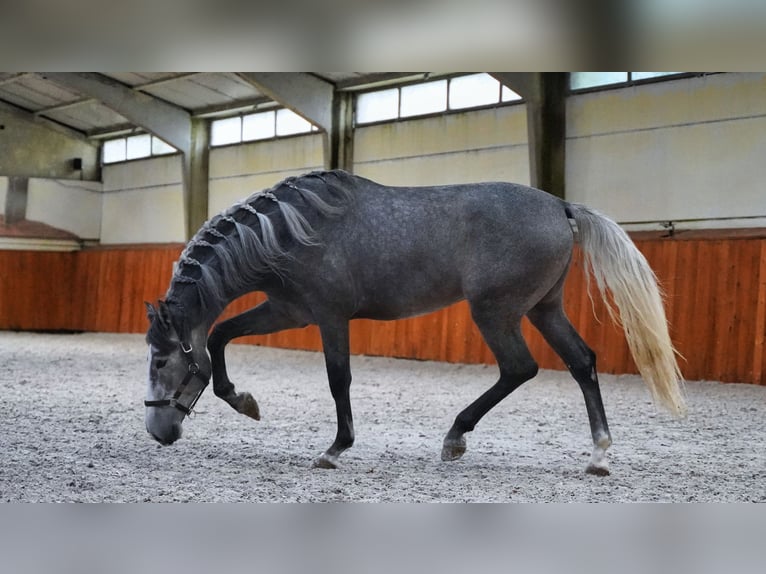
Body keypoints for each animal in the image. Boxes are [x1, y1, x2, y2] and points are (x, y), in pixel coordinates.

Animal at [144, 170, 684, 476]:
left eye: (161, 360)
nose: (157, 431)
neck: (288, 232)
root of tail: (560, 205)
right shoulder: (289, 311)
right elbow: (218, 336)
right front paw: (245, 402)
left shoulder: (328, 317)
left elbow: (338, 379)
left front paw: (334, 450)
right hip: (543, 309)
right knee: (581, 362)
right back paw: (598, 456)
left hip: (495, 311)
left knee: (519, 368)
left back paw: (455, 438)